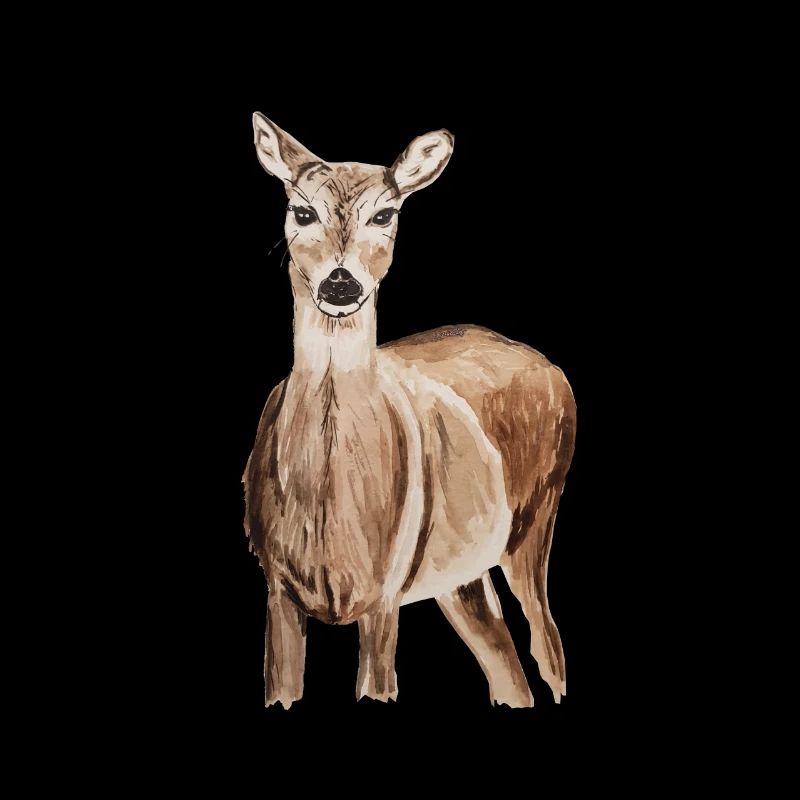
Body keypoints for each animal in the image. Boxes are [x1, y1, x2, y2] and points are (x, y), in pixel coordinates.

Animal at [243, 113, 576, 709]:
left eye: (385, 213)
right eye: (302, 211)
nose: (341, 281)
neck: (328, 507)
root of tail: (550, 366)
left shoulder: (385, 590)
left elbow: (378, 687)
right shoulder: (277, 587)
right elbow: (281, 686)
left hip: (536, 520)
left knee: (549, 648)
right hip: (462, 575)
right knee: (507, 663)